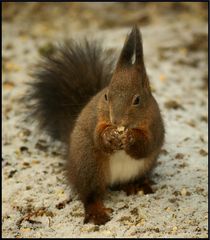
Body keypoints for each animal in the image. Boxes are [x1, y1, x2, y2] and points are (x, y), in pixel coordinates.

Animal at [27, 26, 165, 225]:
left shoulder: (154, 125)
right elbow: (98, 138)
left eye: (137, 100)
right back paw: (96, 212)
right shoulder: (96, 121)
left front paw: (131, 138)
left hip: (145, 165)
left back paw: (137, 185)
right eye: (106, 95)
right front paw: (109, 136)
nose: (116, 121)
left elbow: (146, 146)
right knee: (90, 195)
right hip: (89, 165)